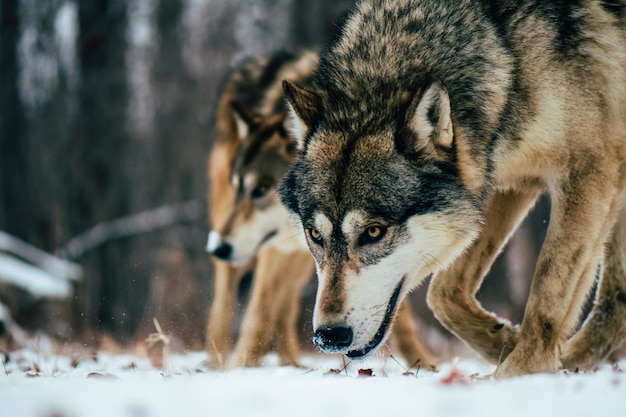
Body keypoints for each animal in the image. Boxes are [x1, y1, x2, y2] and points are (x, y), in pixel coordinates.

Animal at [205, 51, 434, 368]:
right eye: (239, 185)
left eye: (261, 189)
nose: (218, 248)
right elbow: (259, 311)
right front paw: (242, 366)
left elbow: (391, 304)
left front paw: (424, 363)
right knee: (226, 302)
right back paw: (218, 362)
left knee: (285, 305)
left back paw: (289, 363)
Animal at [280, 0, 624, 376]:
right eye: (315, 235)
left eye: (373, 232)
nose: (329, 337)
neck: (503, 48)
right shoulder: (500, 180)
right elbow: (443, 293)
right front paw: (505, 342)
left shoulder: (589, 171)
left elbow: (548, 289)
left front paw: (520, 372)